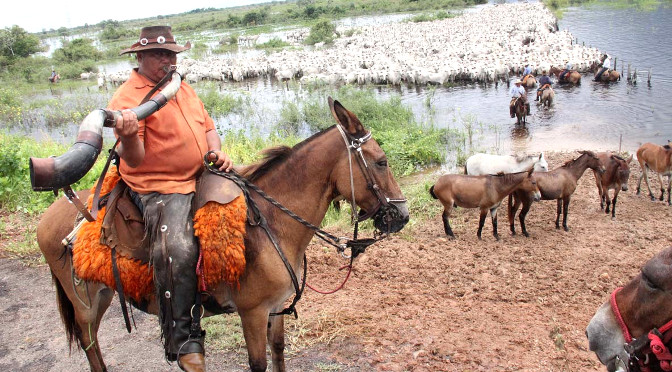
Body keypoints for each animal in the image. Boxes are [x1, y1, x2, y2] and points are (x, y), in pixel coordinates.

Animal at [36, 98, 410, 372]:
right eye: (381, 162)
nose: (402, 216)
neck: (271, 223)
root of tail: (48, 218)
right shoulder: (253, 313)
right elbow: (258, 364)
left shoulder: (276, 309)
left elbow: (278, 353)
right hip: (84, 303)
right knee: (91, 346)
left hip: (102, 295)